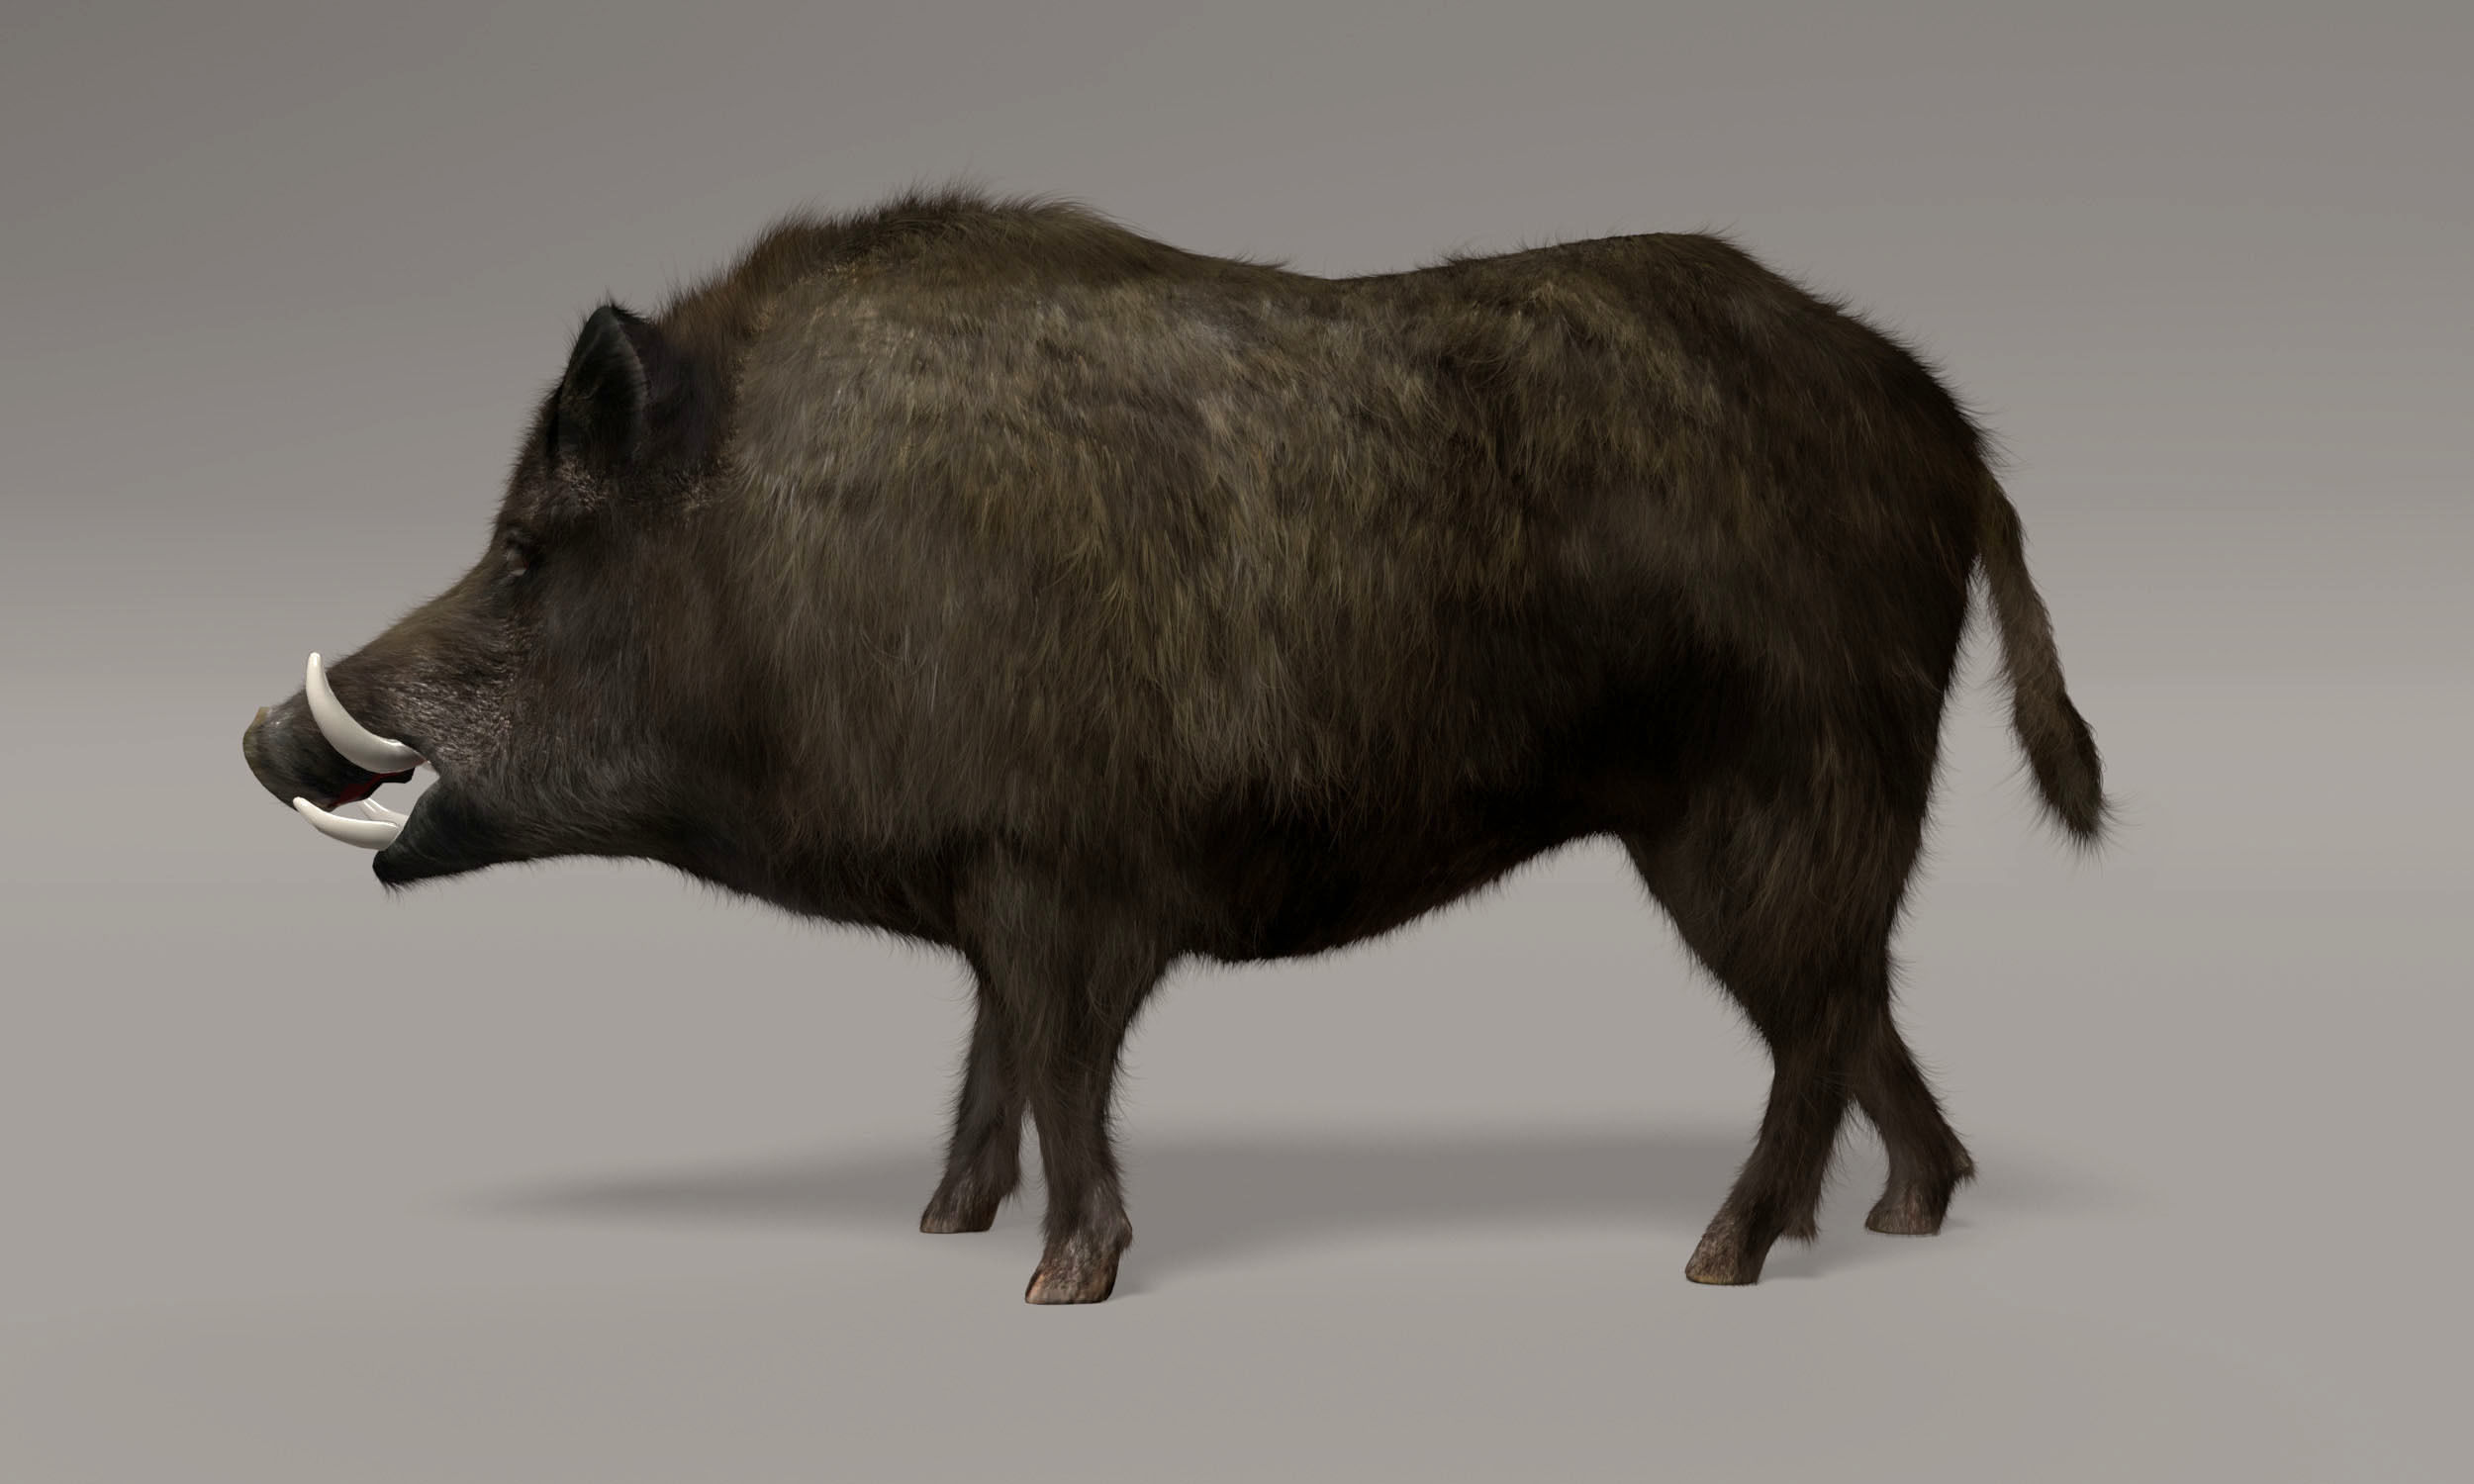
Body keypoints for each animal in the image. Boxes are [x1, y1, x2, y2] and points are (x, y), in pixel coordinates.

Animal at [242, 183, 2108, 1304]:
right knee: (1859, 1009)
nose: (265, 737)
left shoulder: (1066, 872)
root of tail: (1952, 439)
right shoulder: (992, 886)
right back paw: (1904, 1216)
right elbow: (993, 1058)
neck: (772, 558)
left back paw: (1723, 1260)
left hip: (1770, 797)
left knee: (1814, 1023)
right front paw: (940, 1228)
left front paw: (1056, 1283)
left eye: (526, 553)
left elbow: (1066, 1064)